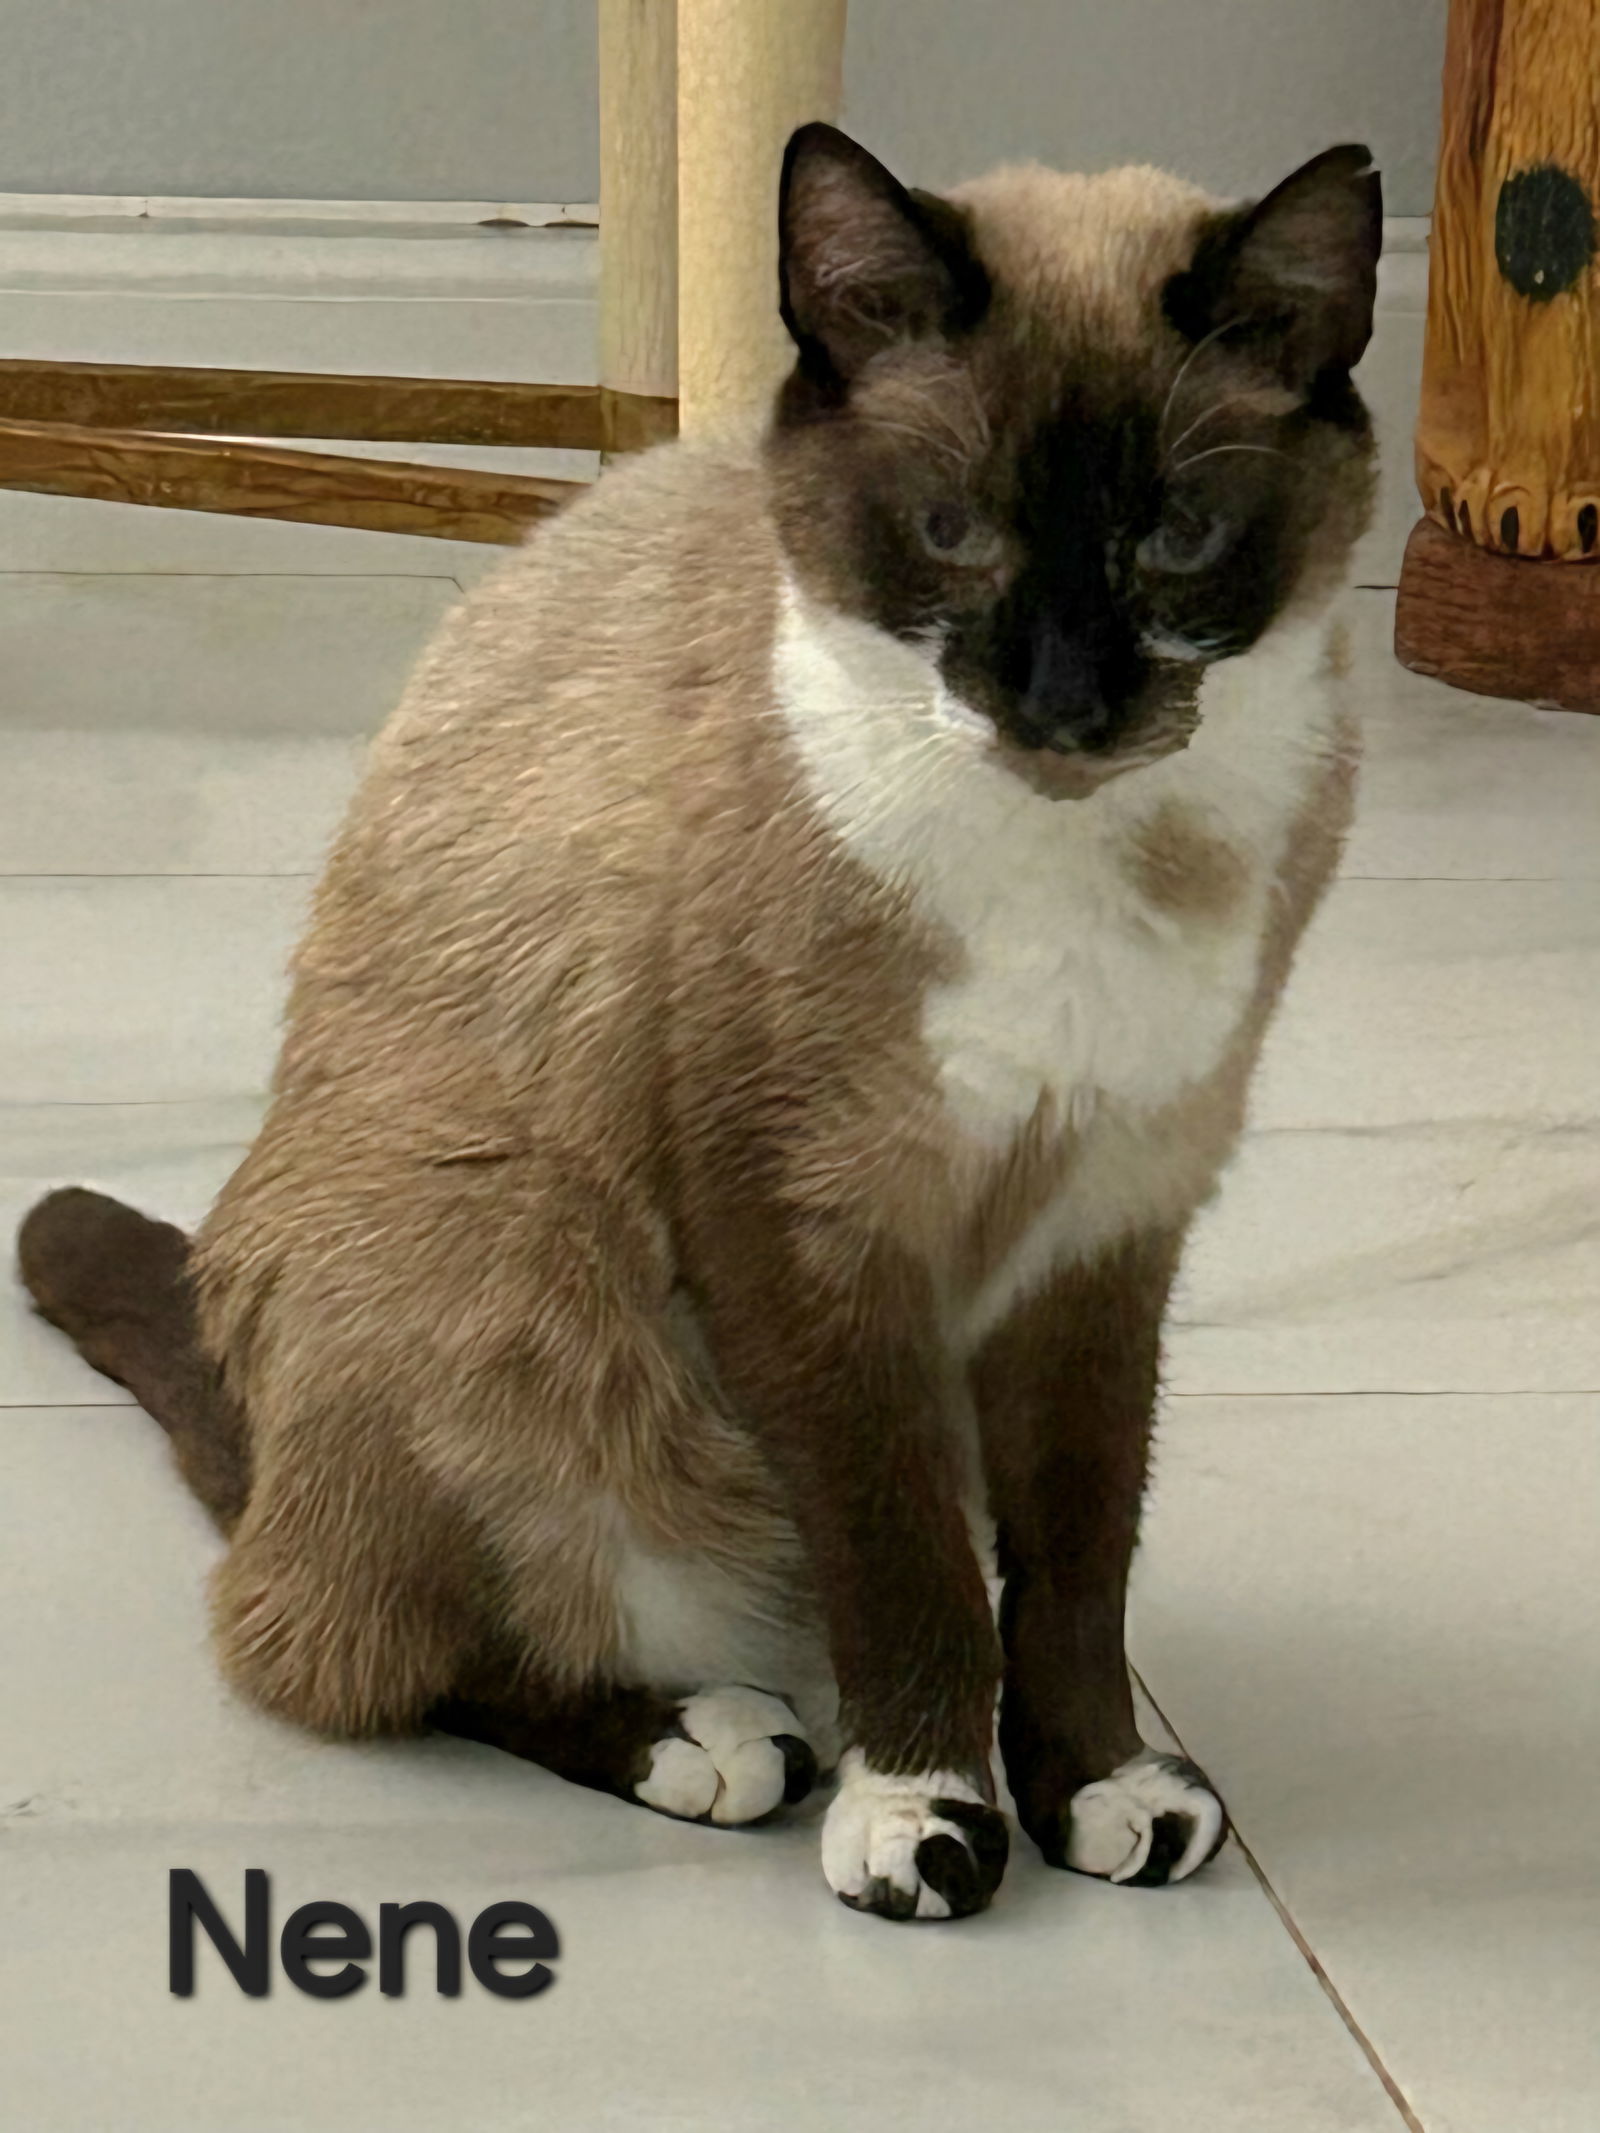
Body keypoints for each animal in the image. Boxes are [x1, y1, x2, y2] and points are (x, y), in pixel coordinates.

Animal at [15, 129, 1382, 1936]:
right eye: (950, 532)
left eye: (1175, 542)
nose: (1064, 706)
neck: (1096, 862)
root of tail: (255, 1411)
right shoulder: (814, 1228)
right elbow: (908, 1558)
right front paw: (927, 1815)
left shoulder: (1112, 1222)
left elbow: (1078, 1560)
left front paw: (1098, 1787)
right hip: (513, 1271)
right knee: (348, 1648)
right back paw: (713, 1739)